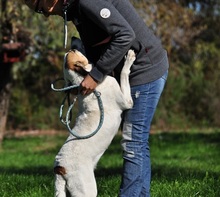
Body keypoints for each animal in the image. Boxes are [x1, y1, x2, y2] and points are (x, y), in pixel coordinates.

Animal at [54, 49, 135, 197]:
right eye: (73, 52)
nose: (72, 48)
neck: (80, 79)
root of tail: (60, 168)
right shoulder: (127, 101)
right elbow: (124, 74)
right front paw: (129, 58)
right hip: (87, 190)